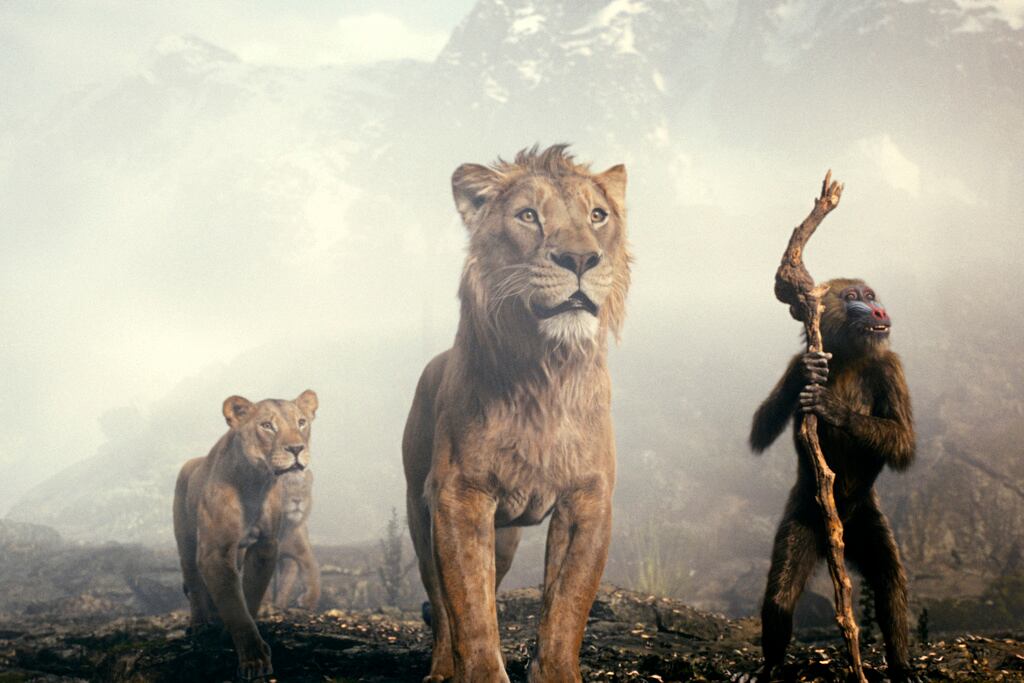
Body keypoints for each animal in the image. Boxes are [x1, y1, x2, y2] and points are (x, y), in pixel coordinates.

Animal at [268, 468, 320, 610]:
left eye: (303, 488)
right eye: (285, 488)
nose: (297, 500)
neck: (284, 527)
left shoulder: (299, 554)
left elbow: (312, 574)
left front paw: (309, 601)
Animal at [403, 144, 630, 682]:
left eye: (598, 215)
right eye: (528, 216)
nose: (580, 258)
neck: (546, 372)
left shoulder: (588, 499)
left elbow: (567, 607)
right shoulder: (459, 496)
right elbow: (470, 610)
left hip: (504, 537)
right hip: (421, 514)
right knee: (441, 605)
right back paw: (441, 668)